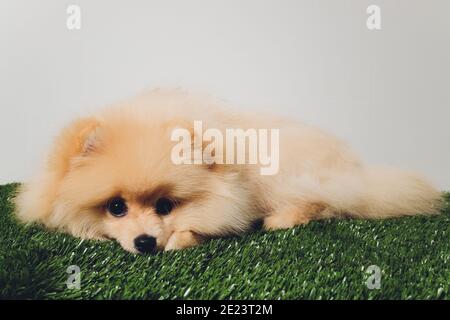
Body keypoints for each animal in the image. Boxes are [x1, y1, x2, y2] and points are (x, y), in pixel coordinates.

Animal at [14, 89, 442, 254]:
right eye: (115, 207)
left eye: (165, 205)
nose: (145, 242)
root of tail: (358, 170)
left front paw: (181, 237)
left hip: (292, 176)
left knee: (326, 203)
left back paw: (281, 219)